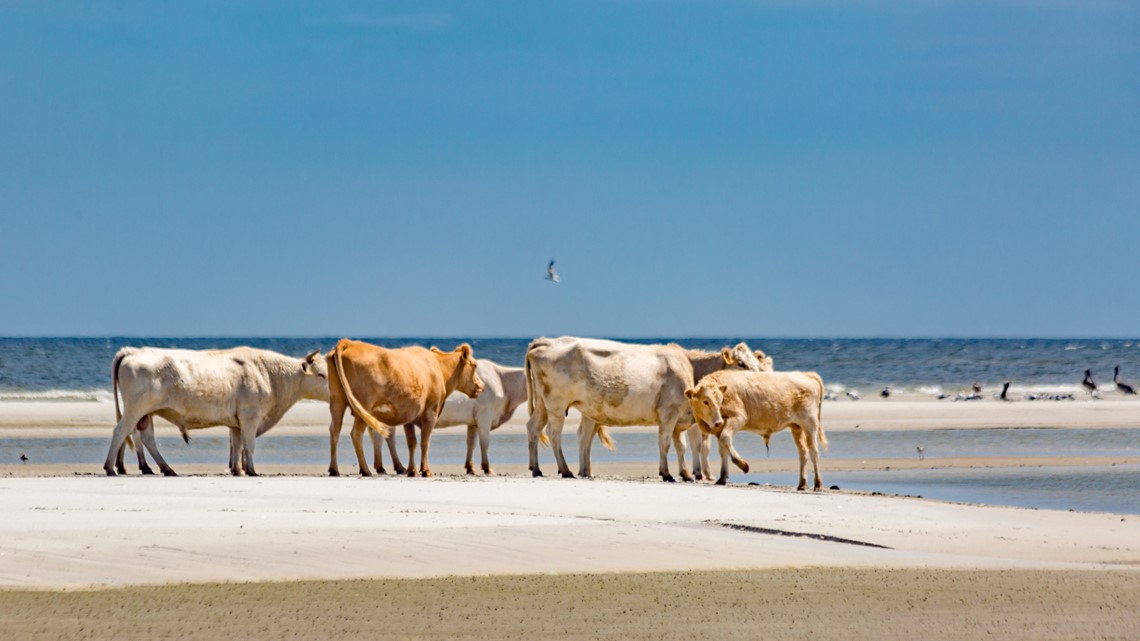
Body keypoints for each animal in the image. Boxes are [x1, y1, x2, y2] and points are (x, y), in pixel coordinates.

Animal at [103, 347, 329, 477]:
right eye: (321, 375)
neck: (268, 374)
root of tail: (131, 351)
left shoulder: (237, 422)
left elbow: (237, 446)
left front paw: (238, 470)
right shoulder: (250, 416)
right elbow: (249, 446)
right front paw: (252, 471)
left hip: (146, 413)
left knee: (147, 438)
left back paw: (165, 469)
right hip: (136, 408)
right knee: (121, 432)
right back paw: (110, 468)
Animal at [327, 339, 483, 478]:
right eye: (475, 365)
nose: (481, 386)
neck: (438, 369)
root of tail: (349, 343)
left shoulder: (410, 416)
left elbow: (412, 443)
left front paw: (412, 470)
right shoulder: (431, 412)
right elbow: (425, 442)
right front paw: (425, 470)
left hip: (337, 401)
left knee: (335, 430)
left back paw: (334, 469)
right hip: (363, 405)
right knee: (356, 434)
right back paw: (365, 470)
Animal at [524, 337, 762, 482]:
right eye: (741, 363)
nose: (761, 376)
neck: (690, 366)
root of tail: (545, 341)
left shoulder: (679, 418)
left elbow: (681, 446)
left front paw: (685, 473)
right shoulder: (669, 412)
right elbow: (665, 443)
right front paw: (666, 473)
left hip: (543, 404)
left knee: (533, 428)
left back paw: (537, 469)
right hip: (556, 404)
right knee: (554, 434)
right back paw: (565, 470)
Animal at [685, 369, 827, 490]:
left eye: (720, 400)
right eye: (705, 401)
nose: (718, 422)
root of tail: (806, 374)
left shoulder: (739, 418)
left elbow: (726, 439)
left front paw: (742, 465)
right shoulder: (720, 429)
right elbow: (723, 450)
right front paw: (722, 478)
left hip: (810, 424)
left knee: (814, 452)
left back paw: (818, 484)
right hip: (797, 427)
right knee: (803, 453)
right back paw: (802, 484)